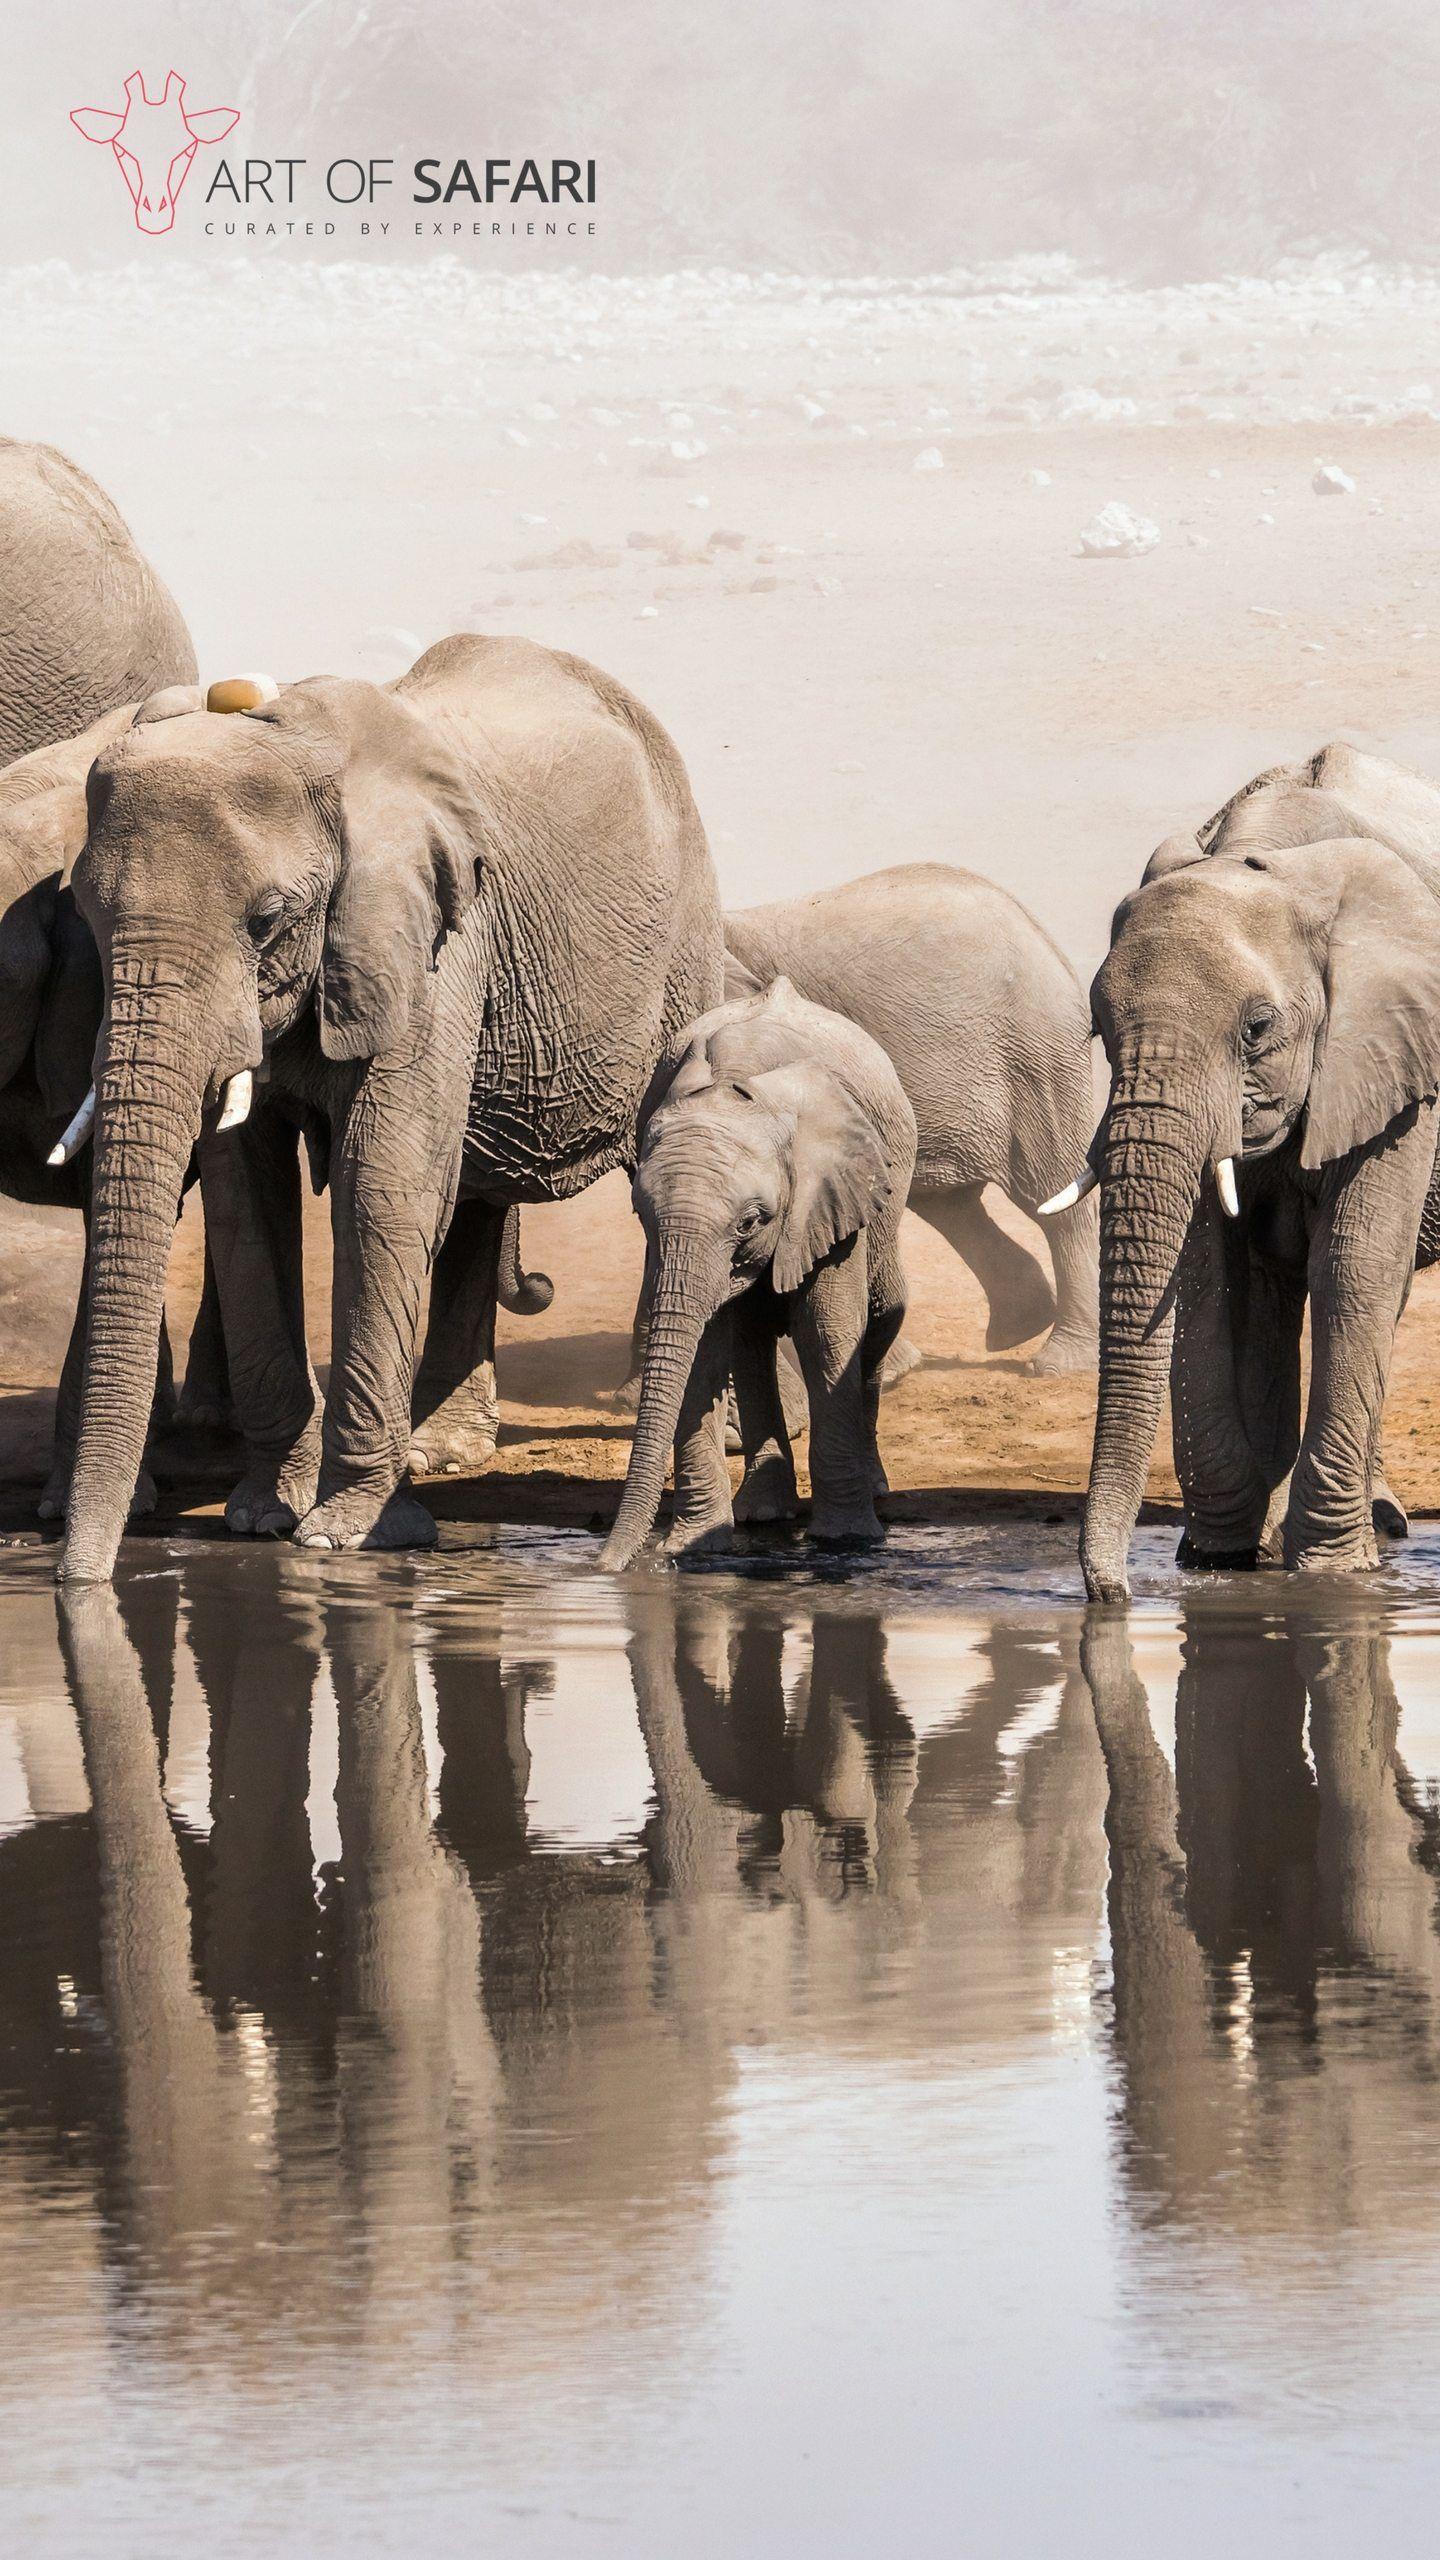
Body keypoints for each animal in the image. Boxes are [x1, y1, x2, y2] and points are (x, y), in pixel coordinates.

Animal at [57, 631, 721, 1582]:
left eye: (268, 920)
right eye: (84, 911)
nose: (80, 1582)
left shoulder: (437, 937)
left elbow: (381, 1188)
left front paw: (344, 1536)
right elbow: (245, 1204)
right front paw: (263, 1516)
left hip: (681, 944)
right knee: (476, 1186)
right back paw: (442, 1449)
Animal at [600, 975, 916, 1571]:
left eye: (750, 1222)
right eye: (638, 1213)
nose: (608, 1567)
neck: (736, 1088)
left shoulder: (830, 1192)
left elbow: (827, 1333)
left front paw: (845, 1542)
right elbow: (703, 1343)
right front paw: (696, 1547)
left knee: (884, 1311)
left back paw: (873, 1488)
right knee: (750, 1342)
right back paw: (764, 1513)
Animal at [1072, 827, 1440, 1602]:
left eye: (1257, 1029)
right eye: (1099, 1027)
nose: (1111, 1596)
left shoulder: (1401, 1063)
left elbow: (1353, 1270)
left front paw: (1333, 1572)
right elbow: (1208, 1278)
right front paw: (1220, 1559)